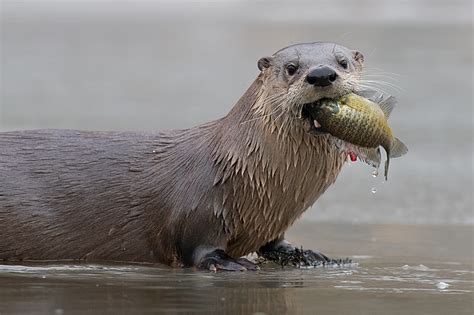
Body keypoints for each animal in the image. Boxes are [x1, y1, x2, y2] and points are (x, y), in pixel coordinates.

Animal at [0, 42, 364, 272]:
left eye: (343, 62)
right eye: (291, 68)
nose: (321, 74)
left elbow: (273, 244)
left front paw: (310, 255)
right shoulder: (199, 208)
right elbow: (200, 247)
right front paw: (232, 263)